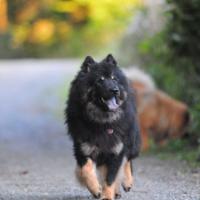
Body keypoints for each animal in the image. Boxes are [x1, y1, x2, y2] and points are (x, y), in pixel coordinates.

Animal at [66, 54, 141, 200]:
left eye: (113, 78)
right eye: (100, 80)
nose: (115, 90)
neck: (103, 122)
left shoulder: (116, 152)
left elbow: (110, 178)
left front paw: (107, 196)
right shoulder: (83, 149)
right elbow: (86, 170)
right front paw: (96, 189)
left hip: (131, 140)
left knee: (128, 159)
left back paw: (127, 182)